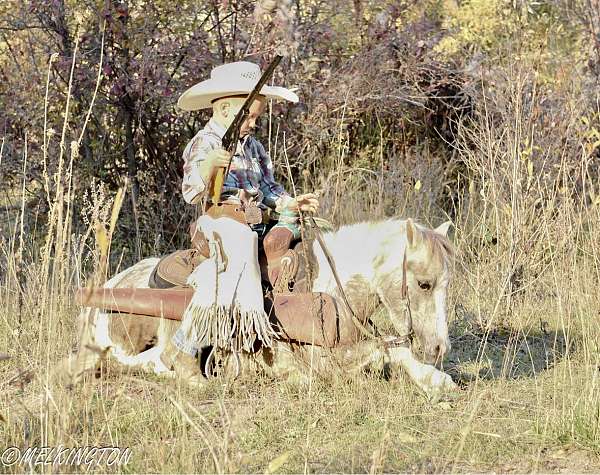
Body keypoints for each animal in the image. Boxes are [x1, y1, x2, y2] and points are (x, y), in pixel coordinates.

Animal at [63, 219, 458, 398]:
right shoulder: (320, 361)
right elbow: (381, 352)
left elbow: (395, 352)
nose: (439, 348)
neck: (330, 289)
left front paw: (437, 378)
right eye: (424, 284)